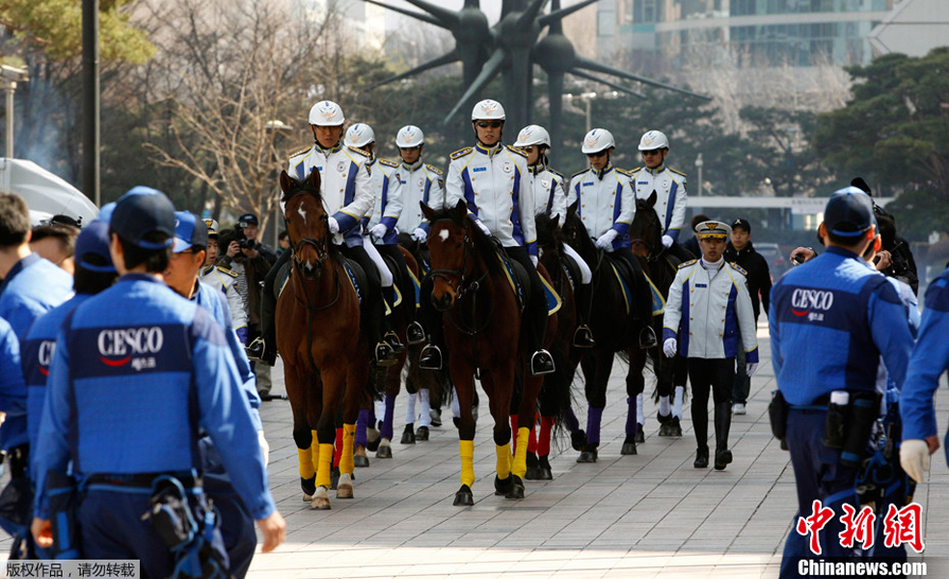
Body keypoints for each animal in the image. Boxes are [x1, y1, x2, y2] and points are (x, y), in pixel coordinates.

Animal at [276, 169, 368, 512]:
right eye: (289, 217)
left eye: (322, 216)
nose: (309, 266)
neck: (313, 304)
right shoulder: (293, 369)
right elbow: (305, 429)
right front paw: (308, 481)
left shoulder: (334, 367)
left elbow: (330, 425)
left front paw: (320, 490)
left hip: (357, 366)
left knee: (348, 416)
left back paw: (342, 479)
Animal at [418, 201, 552, 508]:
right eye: (429, 244)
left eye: (459, 243)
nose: (441, 297)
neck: (475, 301)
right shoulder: (462, 365)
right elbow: (469, 425)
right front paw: (466, 488)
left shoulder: (504, 365)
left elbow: (504, 426)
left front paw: (509, 481)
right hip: (489, 373)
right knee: (503, 410)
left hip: (530, 364)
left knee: (524, 414)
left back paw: (518, 474)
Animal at [560, 203, 648, 462]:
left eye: (570, 231)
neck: (592, 289)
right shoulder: (581, 350)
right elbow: (584, 392)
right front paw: (585, 440)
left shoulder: (605, 350)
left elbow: (599, 393)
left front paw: (590, 446)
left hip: (637, 345)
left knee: (633, 385)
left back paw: (630, 439)